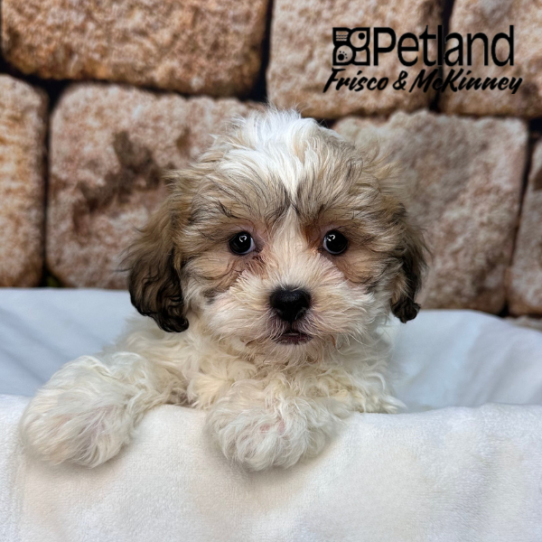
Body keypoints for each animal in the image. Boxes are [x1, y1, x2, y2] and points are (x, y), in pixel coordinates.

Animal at [20, 109, 426, 471]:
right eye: (240, 242)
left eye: (336, 241)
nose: (290, 300)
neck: (259, 359)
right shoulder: (168, 348)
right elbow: (136, 362)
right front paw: (78, 407)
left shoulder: (365, 387)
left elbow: (313, 379)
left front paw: (264, 417)